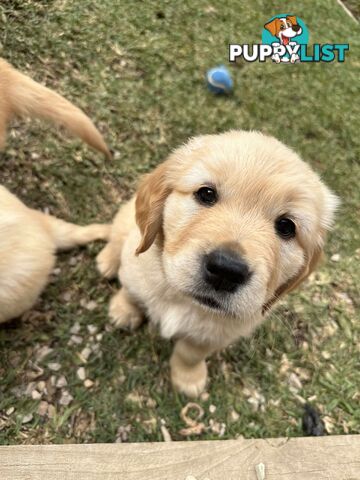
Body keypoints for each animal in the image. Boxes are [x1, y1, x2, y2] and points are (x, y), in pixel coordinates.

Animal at [97, 131, 338, 398]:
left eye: (286, 226)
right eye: (206, 194)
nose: (226, 270)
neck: (184, 300)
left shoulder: (216, 335)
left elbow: (190, 353)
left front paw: (189, 378)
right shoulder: (135, 270)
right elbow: (132, 292)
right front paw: (124, 310)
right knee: (116, 236)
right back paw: (106, 261)